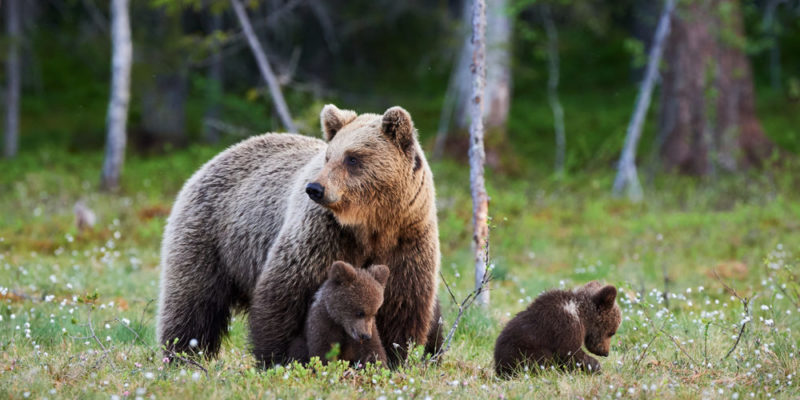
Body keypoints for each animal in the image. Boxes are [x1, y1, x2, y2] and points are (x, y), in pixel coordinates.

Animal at [156, 104, 444, 368]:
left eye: (352, 158)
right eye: (328, 157)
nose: (315, 188)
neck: (371, 225)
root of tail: (215, 158)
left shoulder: (407, 240)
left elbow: (402, 303)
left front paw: (395, 356)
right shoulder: (323, 236)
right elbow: (286, 293)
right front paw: (279, 358)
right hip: (212, 236)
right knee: (193, 302)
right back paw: (182, 355)